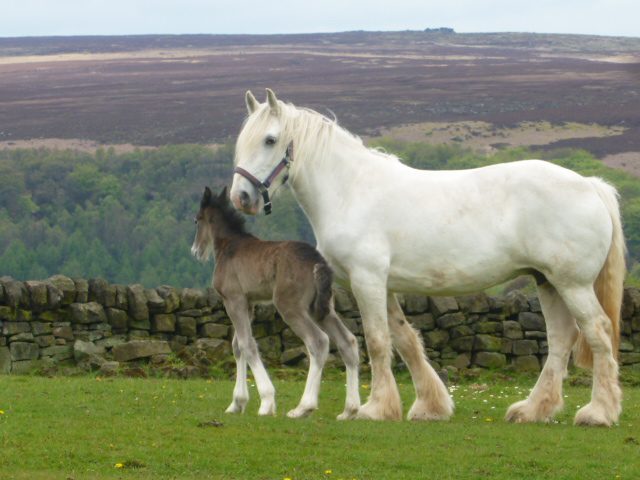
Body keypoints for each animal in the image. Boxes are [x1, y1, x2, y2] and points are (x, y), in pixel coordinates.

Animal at [230, 88, 624, 426]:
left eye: (269, 139)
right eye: (243, 140)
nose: (241, 197)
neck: (351, 189)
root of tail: (591, 186)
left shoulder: (367, 280)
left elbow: (377, 341)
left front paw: (375, 408)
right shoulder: (383, 286)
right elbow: (405, 339)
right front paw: (428, 405)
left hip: (572, 285)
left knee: (598, 333)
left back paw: (598, 413)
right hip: (548, 282)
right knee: (561, 339)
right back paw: (533, 410)